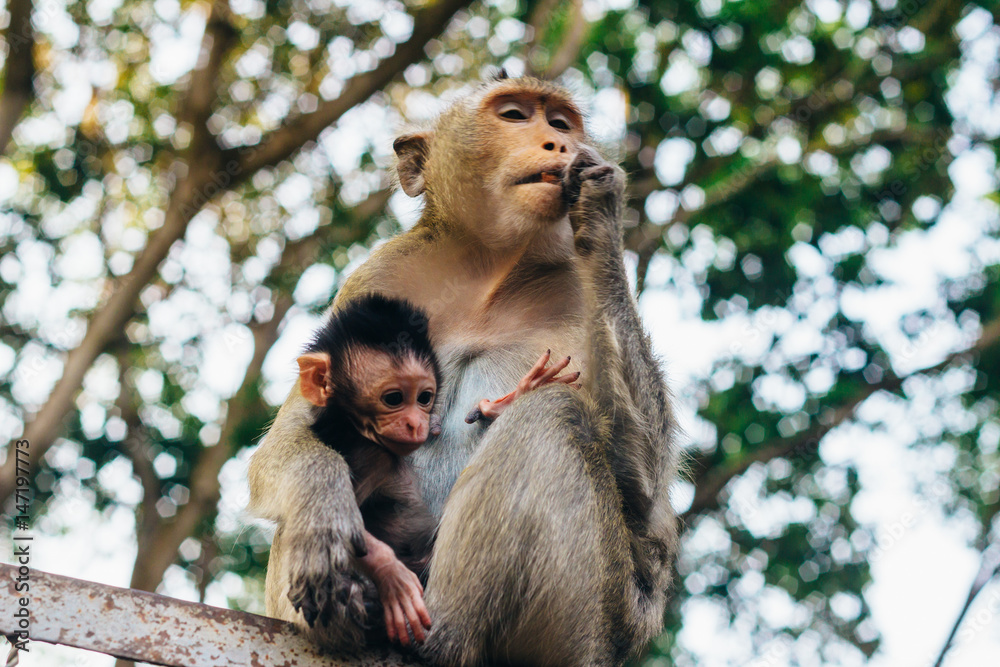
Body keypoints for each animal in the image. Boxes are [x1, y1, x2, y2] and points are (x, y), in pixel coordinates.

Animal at [248, 74, 678, 666]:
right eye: (515, 115)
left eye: (560, 122)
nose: (558, 143)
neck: (491, 271)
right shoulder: (378, 275)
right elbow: (288, 442)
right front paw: (322, 513)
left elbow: (646, 507)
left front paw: (601, 202)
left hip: (595, 621)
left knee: (554, 414)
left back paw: (439, 637)